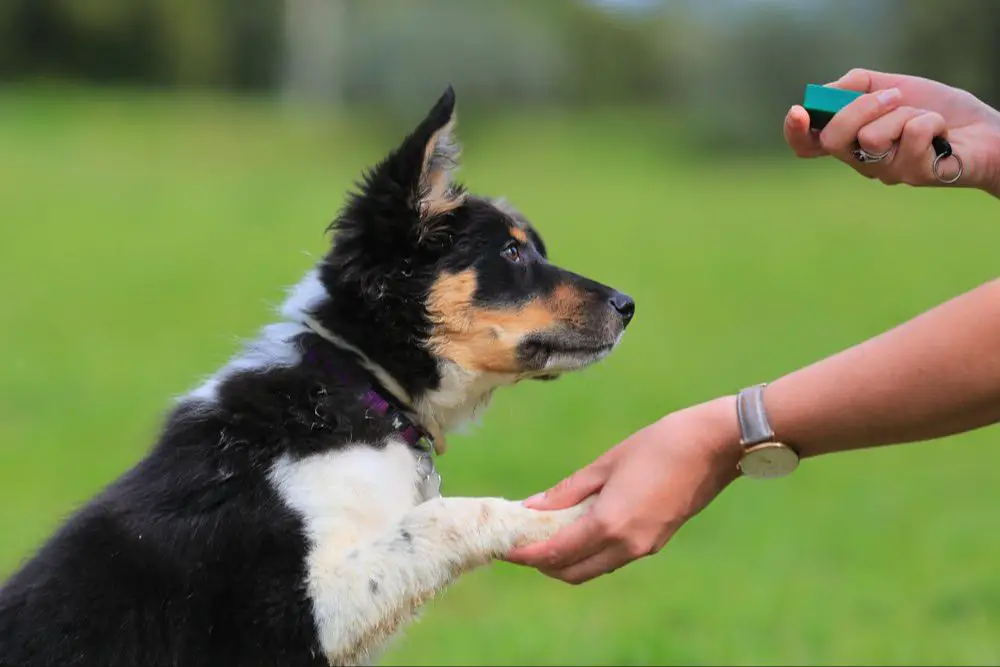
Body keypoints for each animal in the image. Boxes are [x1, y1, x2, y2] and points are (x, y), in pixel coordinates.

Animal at [0, 88, 636, 667]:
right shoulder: (294, 611)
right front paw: (567, 515)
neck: (361, 386)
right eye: (510, 252)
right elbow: (446, 516)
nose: (628, 305)